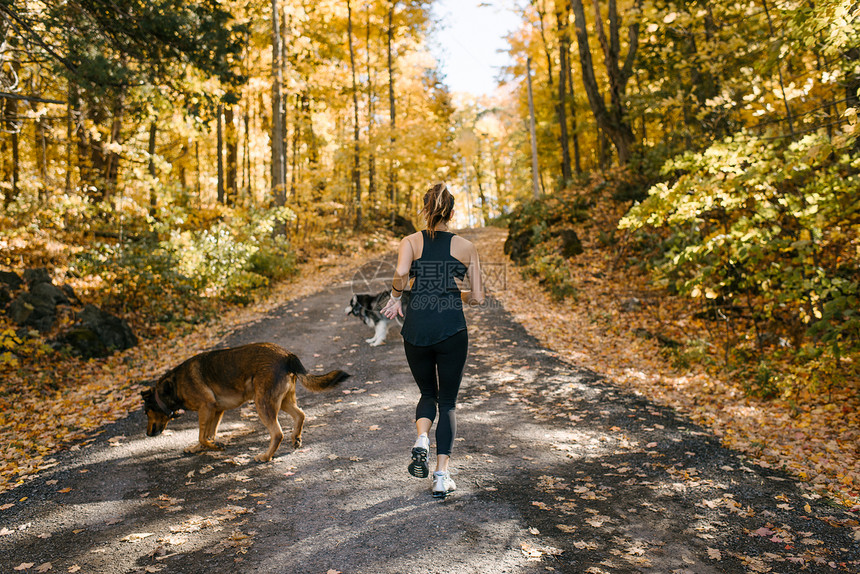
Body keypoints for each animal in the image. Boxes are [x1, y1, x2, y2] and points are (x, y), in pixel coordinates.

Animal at [141, 342, 350, 464]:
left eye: (146, 412)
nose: (148, 434)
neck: (173, 386)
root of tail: (287, 354)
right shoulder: (216, 411)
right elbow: (208, 434)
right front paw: (201, 447)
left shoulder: (206, 408)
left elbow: (202, 435)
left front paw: (214, 446)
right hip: (282, 401)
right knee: (301, 415)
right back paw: (296, 438)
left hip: (262, 403)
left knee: (277, 433)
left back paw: (265, 457)